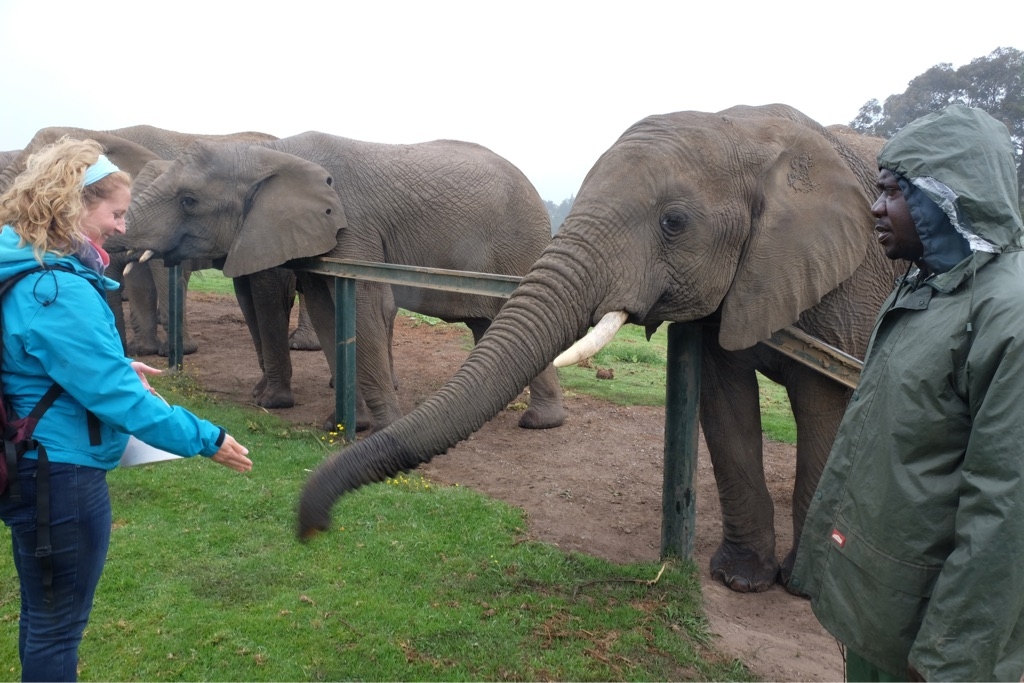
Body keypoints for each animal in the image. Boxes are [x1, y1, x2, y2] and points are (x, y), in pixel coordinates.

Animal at [122, 131, 568, 432]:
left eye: (188, 201)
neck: (273, 154)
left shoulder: (352, 225)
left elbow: (369, 305)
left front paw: (383, 429)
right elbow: (325, 310)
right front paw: (343, 424)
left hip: (521, 245)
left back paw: (538, 422)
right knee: (487, 323)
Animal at [295, 103, 905, 595]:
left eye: (674, 222)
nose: (310, 526)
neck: (745, 132)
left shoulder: (850, 277)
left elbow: (824, 405)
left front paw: (801, 587)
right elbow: (725, 403)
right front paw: (740, 580)